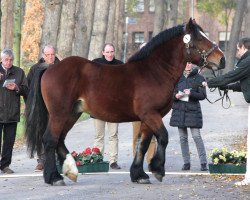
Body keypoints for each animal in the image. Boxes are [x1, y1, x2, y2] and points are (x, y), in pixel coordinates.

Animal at [25, 18, 225, 186]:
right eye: (199, 39)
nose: (221, 59)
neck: (154, 71)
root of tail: (50, 67)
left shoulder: (148, 117)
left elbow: (143, 144)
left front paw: (139, 174)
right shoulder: (150, 114)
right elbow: (163, 137)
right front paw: (157, 169)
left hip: (72, 114)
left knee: (59, 139)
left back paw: (71, 171)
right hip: (59, 113)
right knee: (50, 139)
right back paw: (54, 177)